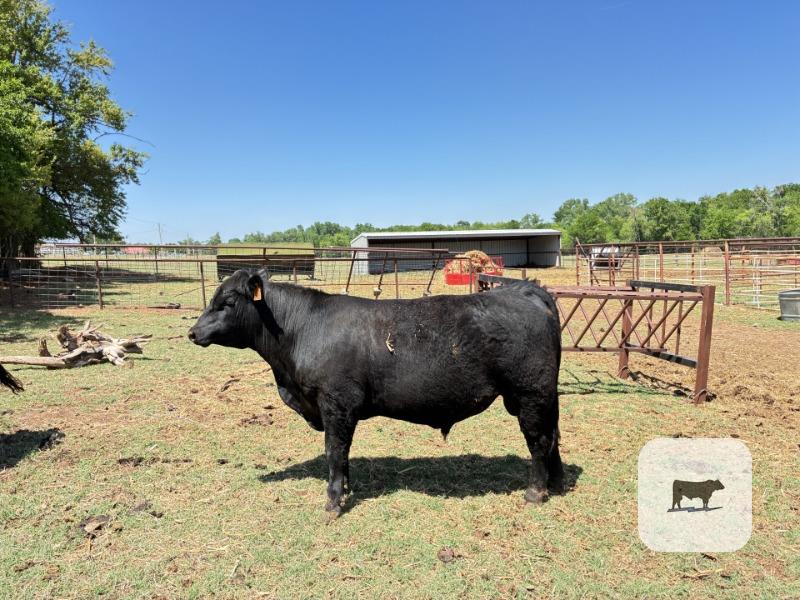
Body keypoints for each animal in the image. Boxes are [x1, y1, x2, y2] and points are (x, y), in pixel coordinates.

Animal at [188, 269, 563, 517]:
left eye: (227, 301)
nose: (192, 332)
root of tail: (525, 291)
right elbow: (343, 454)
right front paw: (345, 489)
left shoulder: (336, 402)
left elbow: (334, 451)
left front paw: (332, 501)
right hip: (542, 395)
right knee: (553, 435)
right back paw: (556, 484)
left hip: (529, 393)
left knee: (538, 440)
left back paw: (535, 492)